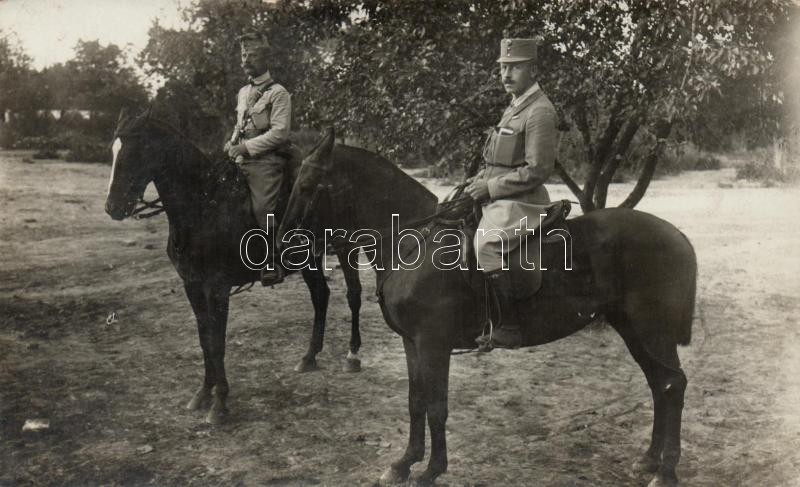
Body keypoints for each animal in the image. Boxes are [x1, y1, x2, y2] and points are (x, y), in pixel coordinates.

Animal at [105, 112, 366, 426]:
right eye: (112, 151)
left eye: (135, 151)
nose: (112, 208)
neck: (204, 205)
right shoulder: (192, 286)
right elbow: (205, 338)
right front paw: (203, 392)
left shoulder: (216, 289)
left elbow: (217, 342)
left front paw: (219, 403)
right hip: (309, 259)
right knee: (321, 295)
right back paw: (309, 357)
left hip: (346, 246)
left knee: (353, 294)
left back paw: (352, 356)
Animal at [280, 130, 692, 487]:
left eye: (306, 186)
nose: (284, 244)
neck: (412, 244)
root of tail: (676, 235)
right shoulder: (412, 343)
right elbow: (416, 402)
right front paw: (404, 463)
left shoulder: (433, 344)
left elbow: (436, 406)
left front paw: (431, 470)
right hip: (633, 330)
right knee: (659, 384)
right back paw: (648, 460)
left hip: (652, 331)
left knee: (672, 385)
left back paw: (665, 471)